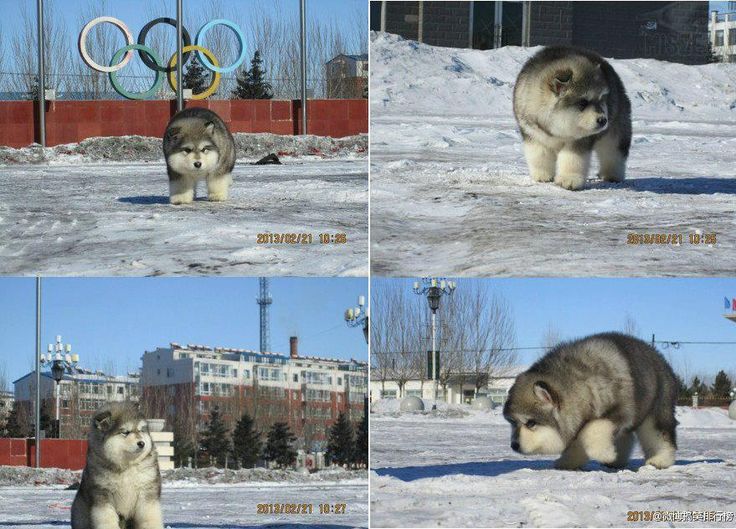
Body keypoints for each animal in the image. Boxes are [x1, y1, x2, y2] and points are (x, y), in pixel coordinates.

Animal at [500, 334, 680, 470]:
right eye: (512, 422)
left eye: (530, 423)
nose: (514, 445)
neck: (582, 383)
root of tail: (659, 357)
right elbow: (579, 441)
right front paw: (569, 461)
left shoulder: (621, 410)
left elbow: (592, 430)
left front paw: (604, 453)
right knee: (626, 437)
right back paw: (617, 460)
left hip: (656, 410)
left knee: (660, 435)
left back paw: (660, 459)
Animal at [512, 45, 632, 190]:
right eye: (583, 102)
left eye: (601, 99)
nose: (603, 120)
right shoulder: (533, 134)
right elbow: (539, 155)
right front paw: (542, 175)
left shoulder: (579, 140)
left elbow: (572, 159)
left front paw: (569, 179)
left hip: (617, 131)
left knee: (614, 153)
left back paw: (612, 175)